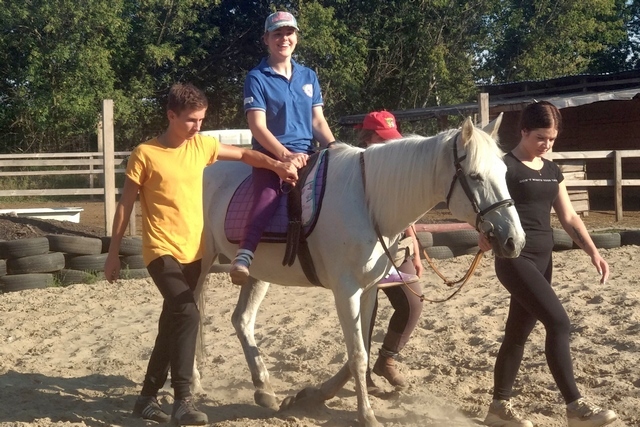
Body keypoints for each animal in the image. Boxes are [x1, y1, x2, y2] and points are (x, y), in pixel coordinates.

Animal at [195, 115, 524, 426]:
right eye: (475, 176)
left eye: (504, 172)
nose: (514, 240)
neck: (368, 202)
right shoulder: (346, 291)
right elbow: (357, 354)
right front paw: (366, 415)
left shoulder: (368, 290)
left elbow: (361, 347)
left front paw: (312, 395)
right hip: (199, 265)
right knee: (193, 315)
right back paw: (195, 385)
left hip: (258, 274)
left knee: (242, 320)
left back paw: (263, 389)